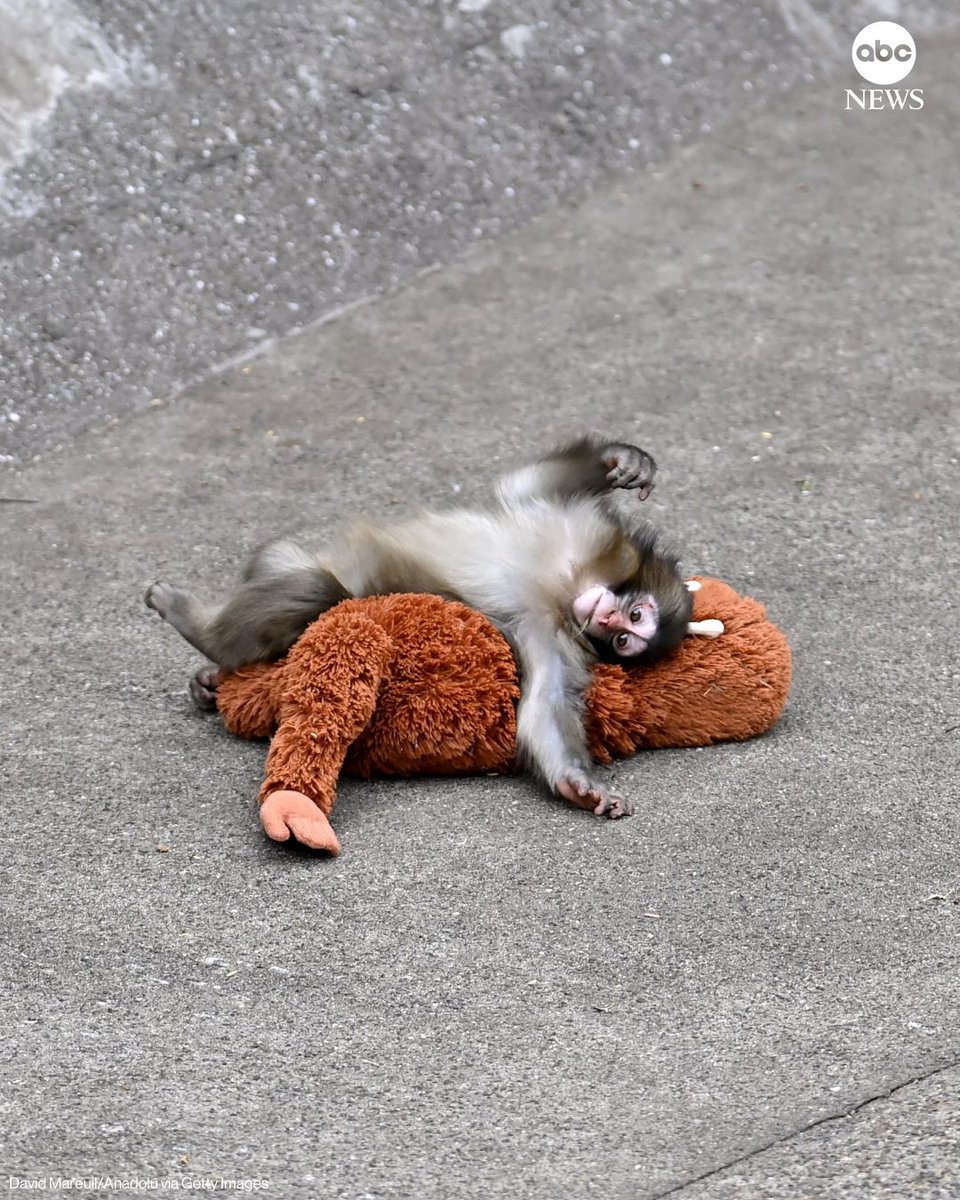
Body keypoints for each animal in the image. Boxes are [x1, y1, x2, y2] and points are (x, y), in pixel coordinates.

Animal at [146, 436, 693, 819]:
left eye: (624, 639)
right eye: (634, 617)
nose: (607, 618)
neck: (566, 586)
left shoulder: (554, 636)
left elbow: (545, 704)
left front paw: (577, 786)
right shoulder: (580, 529)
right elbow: (526, 484)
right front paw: (622, 460)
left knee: (319, 592)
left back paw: (208, 655)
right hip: (282, 557)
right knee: (313, 584)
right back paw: (202, 635)